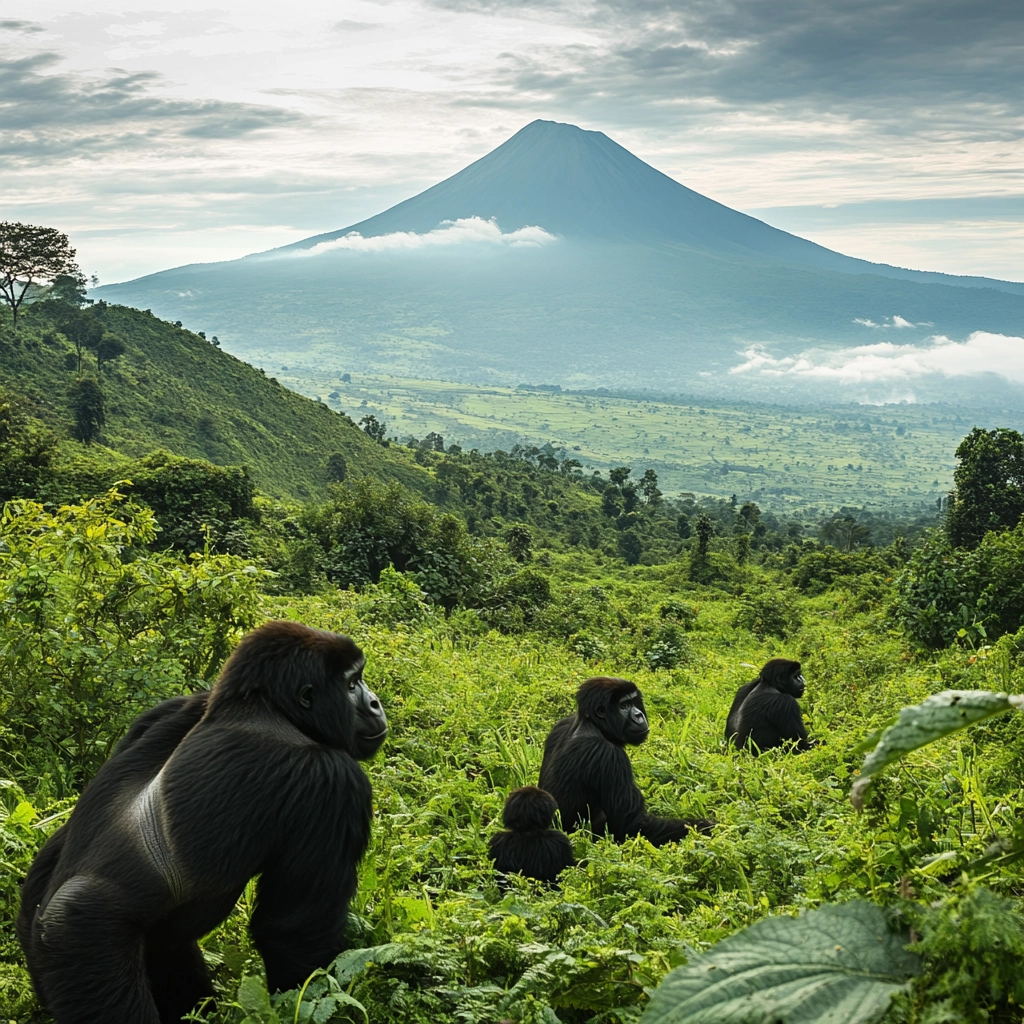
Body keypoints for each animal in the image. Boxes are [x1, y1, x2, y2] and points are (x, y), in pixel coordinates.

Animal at [18, 614, 385, 1024]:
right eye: (351, 684)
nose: (374, 703)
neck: (259, 704)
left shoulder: (170, 706)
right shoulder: (333, 783)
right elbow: (295, 935)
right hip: (80, 942)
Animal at [536, 675, 712, 843]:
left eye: (633, 701)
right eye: (624, 706)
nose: (639, 715)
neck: (593, 724)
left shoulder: (561, 725)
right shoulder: (607, 755)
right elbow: (633, 824)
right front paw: (707, 827)